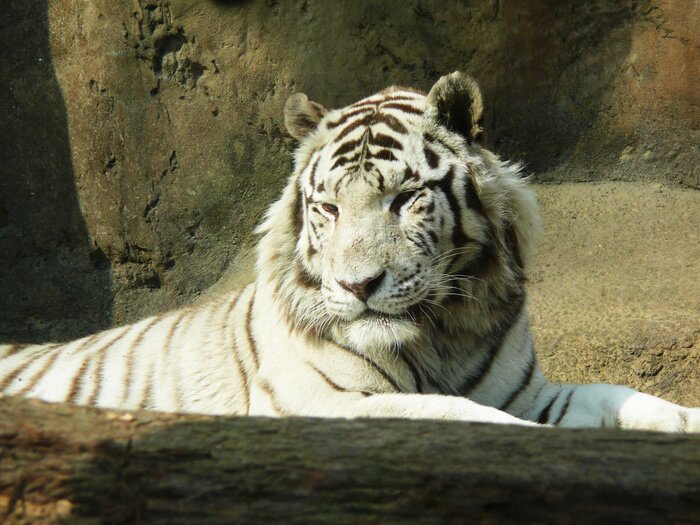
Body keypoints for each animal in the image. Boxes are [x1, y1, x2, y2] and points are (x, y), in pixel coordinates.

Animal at [1, 71, 698, 431]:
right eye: (329, 208)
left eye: (405, 199)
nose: (359, 286)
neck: (441, 338)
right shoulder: (316, 402)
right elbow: (454, 414)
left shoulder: (527, 392)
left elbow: (617, 396)